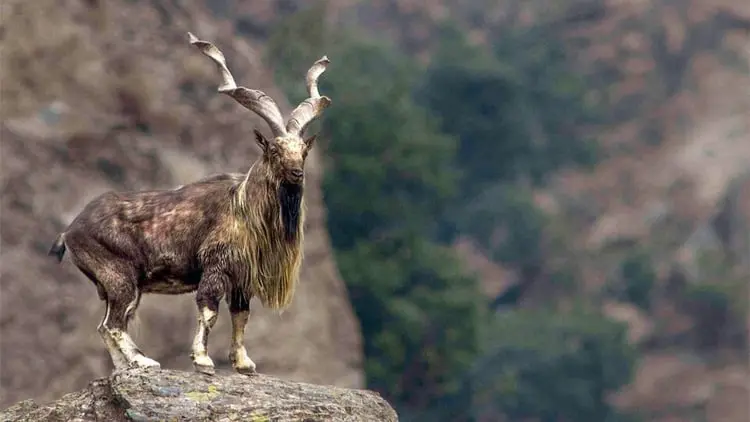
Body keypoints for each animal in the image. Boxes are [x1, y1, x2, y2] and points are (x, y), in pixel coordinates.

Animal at [47, 32, 332, 375]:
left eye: (303, 151)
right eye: (274, 150)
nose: (297, 173)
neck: (243, 209)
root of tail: (70, 231)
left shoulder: (242, 281)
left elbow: (241, 316)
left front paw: (244, 364)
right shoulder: (215, 268)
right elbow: (209, 312)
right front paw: (203, 360)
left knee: (105, 326)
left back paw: (125, 367)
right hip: (120, 277)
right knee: (114, 323)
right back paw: (143, 360)